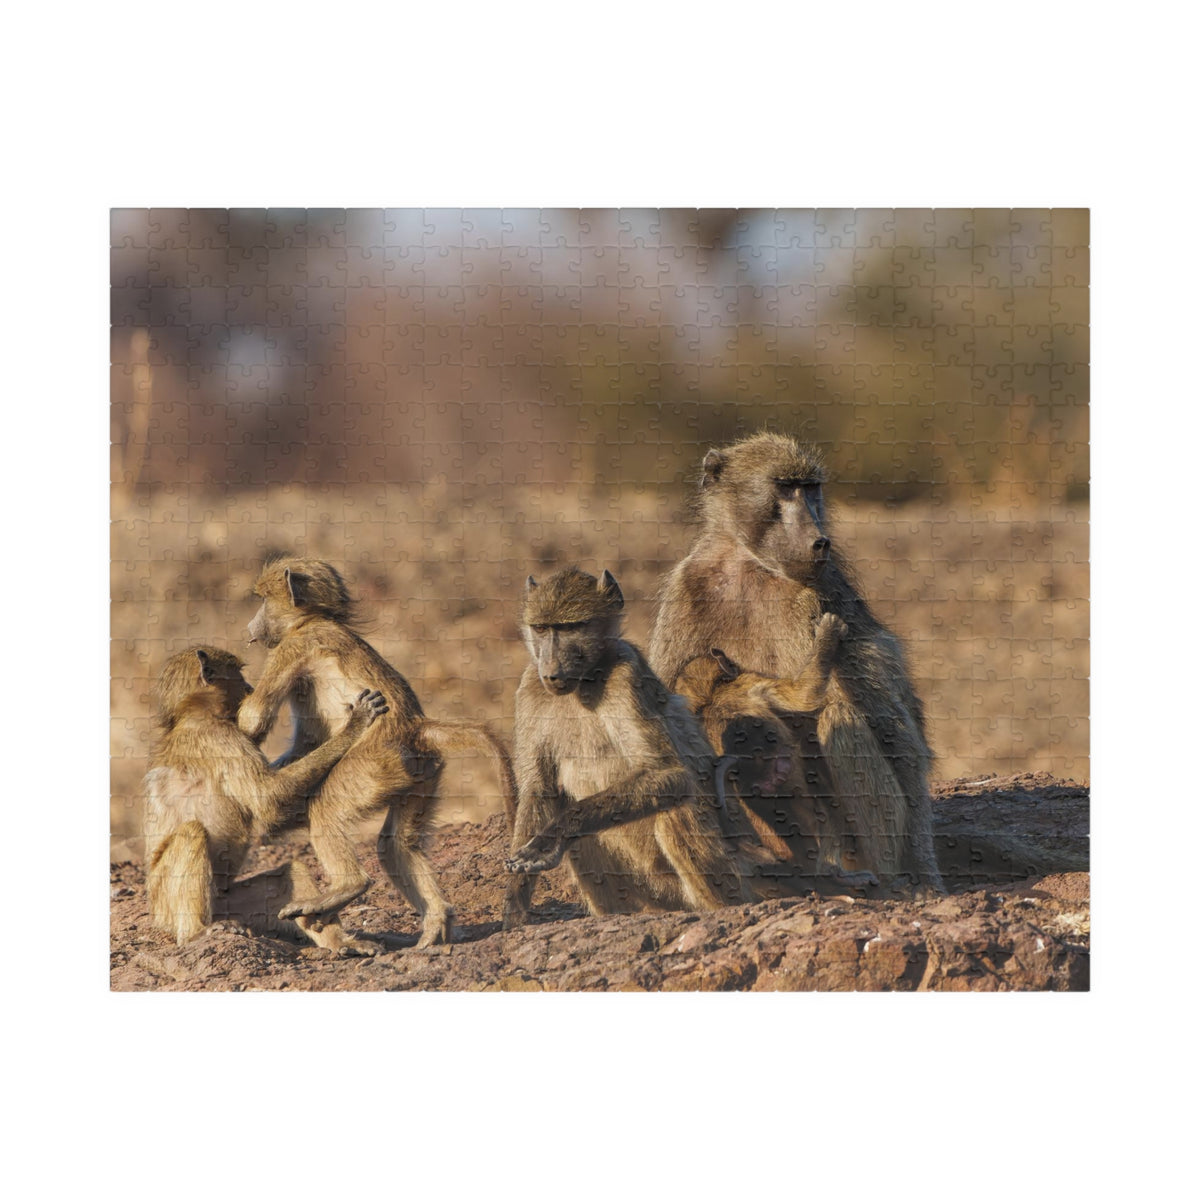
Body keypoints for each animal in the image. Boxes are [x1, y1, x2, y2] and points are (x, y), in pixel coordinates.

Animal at [143, 646, 388, 954]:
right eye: (239, 674)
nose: (250, 688)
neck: (191, 714)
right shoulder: (223, 738)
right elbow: (270, 802)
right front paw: (355, 725)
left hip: (227, 903)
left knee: (290, 874)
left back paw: (340, 941)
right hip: (164, 904)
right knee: (191, 832)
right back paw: (195, 934)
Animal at [237, 558, 518, 949]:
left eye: (263, 600)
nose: (250, 625)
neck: (314, 620)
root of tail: (416, 727)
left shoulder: (292, 647)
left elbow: (253, 720)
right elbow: (306, 741)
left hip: (373, 766)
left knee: (327, 809)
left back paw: (347, 888)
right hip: (421, 773)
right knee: (396, 844)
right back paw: (435, 925)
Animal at [502, 567, 748, 928]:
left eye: (571, 627)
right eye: (542, 629)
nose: (552, 671)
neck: (584, 683)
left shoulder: (626, 676)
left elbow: (670, 774)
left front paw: (552, 836)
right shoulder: (530, 687)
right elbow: (539, 789)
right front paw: (515, 909)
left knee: (674, 810)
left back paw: (720, 909)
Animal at [648, 432, 945, 894]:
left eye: (811, 488)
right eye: (785, 488)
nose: (819, 541)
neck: (748, 565)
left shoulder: (817, 598)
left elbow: (888, 727)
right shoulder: (685, 589)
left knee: (841, 716)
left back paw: (886, 879)